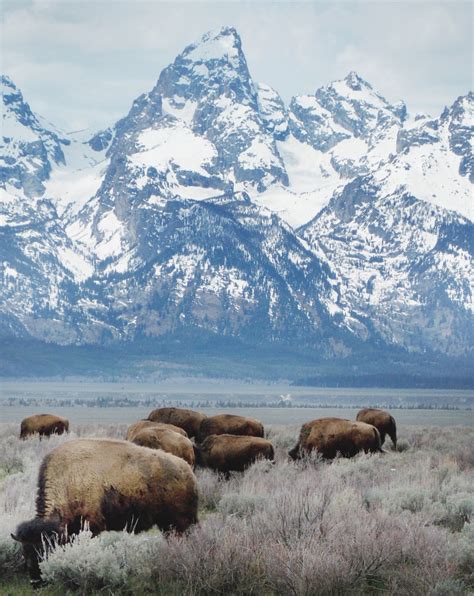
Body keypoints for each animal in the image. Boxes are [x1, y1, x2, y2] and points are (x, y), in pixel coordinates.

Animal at [12, 438, 198, 588]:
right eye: (25, 552)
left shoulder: (90, 526)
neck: (68, 480)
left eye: (45, 550)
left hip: (181, 521)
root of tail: (187, 471)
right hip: (167, 524)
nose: (36, 583)